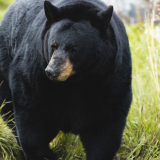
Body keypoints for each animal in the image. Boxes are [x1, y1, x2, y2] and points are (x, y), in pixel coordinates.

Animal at [0, 0, 132, 160]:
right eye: (53, 45)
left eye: (72, 48)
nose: (51, 71)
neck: (75, 82)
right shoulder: (35, 70)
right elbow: (31, 112)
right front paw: (44, 154)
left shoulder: (109, 76)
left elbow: (105, 124)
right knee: (9, 110)